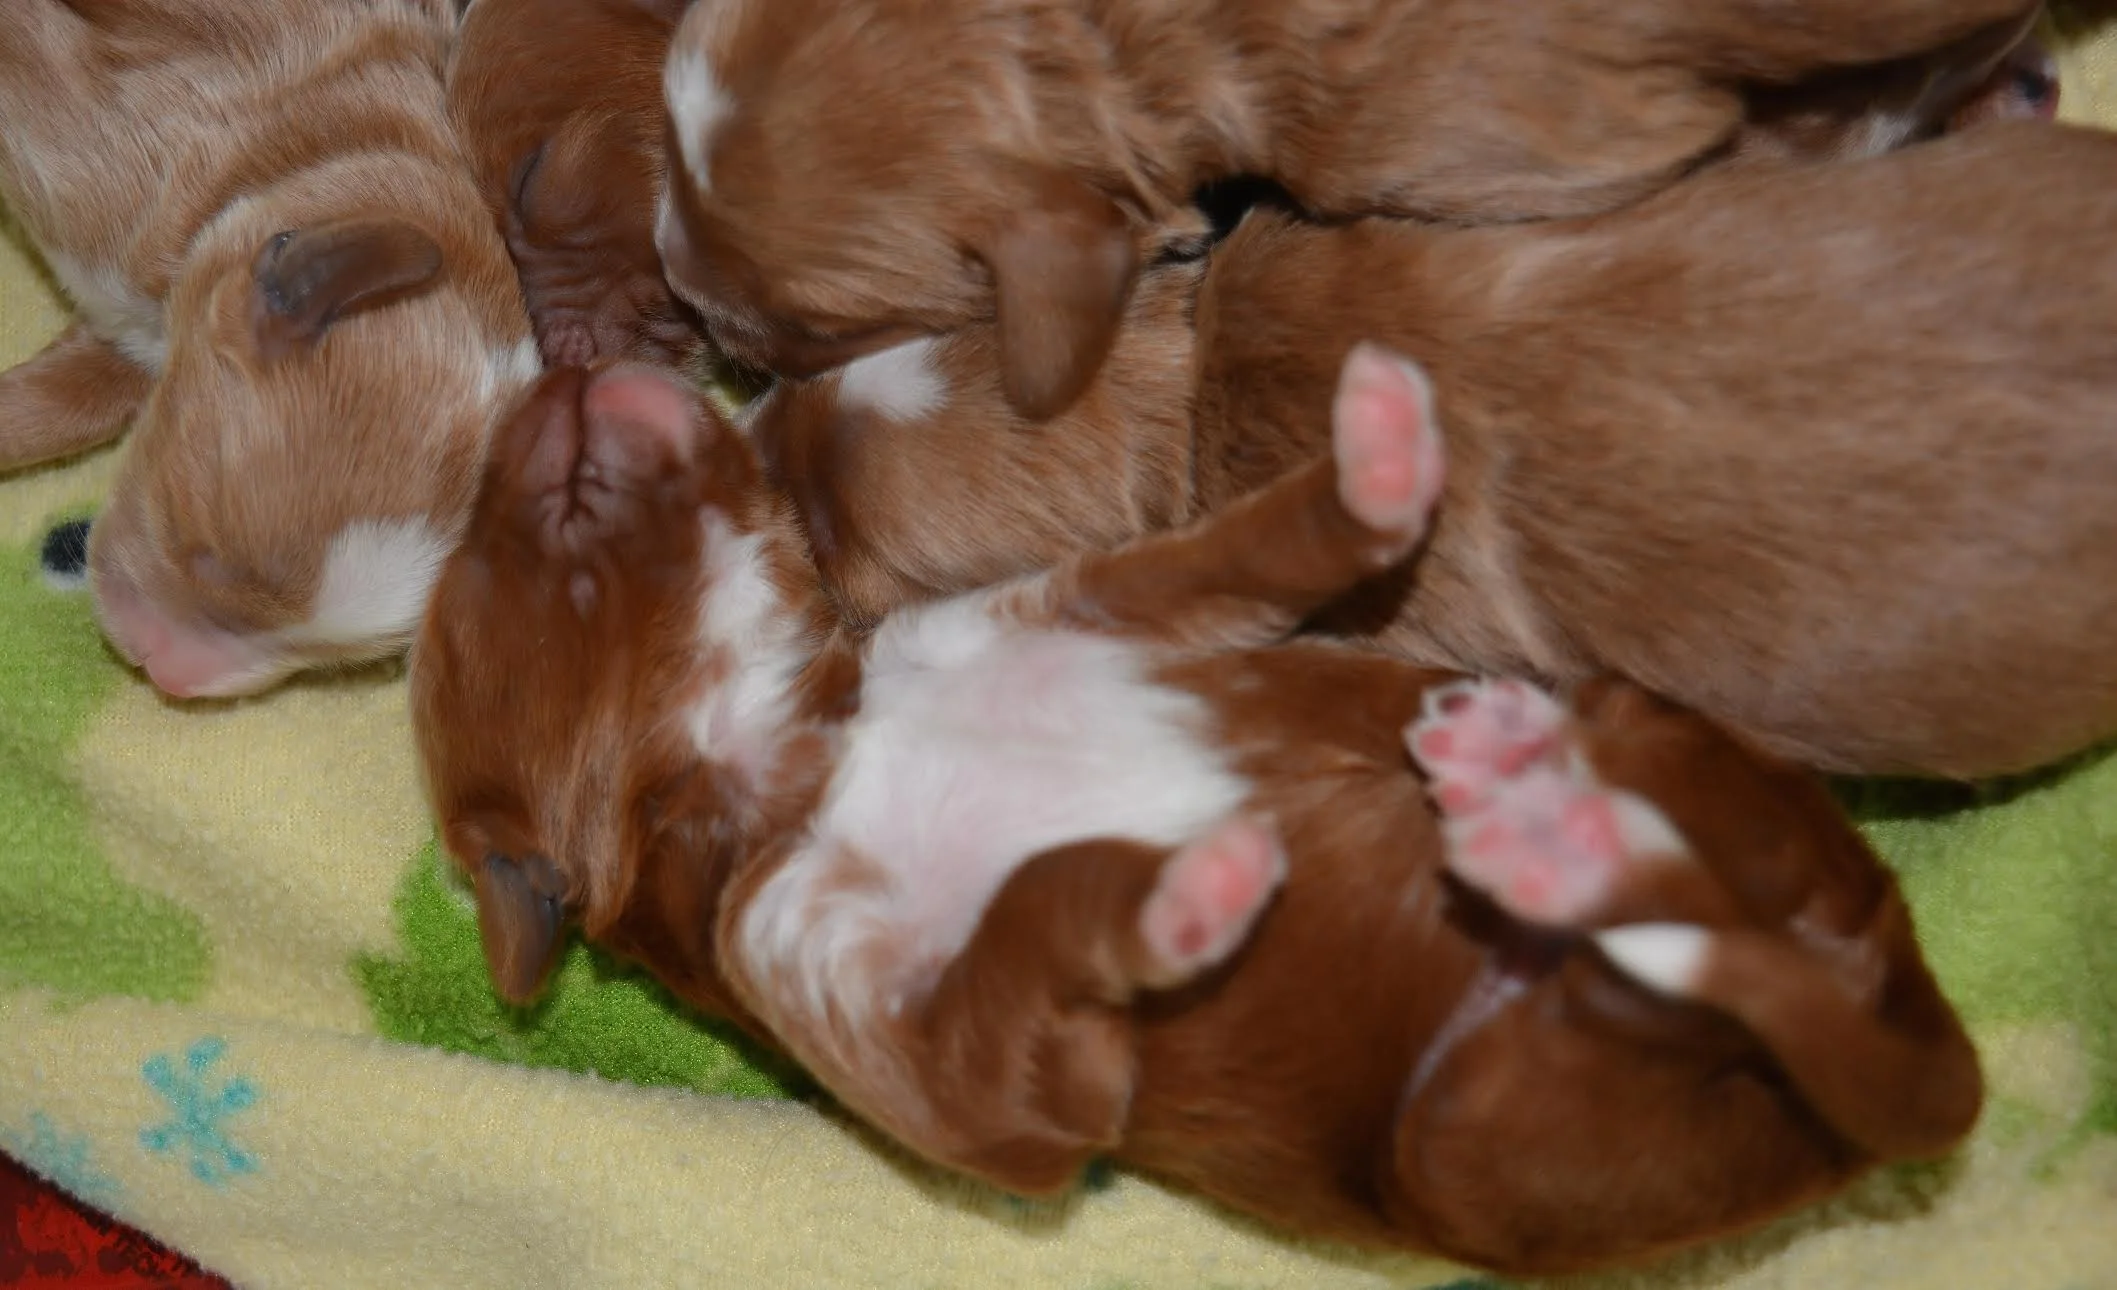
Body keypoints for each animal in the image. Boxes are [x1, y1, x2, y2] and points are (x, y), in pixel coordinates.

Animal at [409, 350, 1980, 1275]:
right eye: (476, 549)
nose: (565, 358)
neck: (810, 743)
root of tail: (1899, 986)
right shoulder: (960, 1079)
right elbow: (1038, 912)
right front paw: (1182, 892)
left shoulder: (1107, 603)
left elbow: (1252, 544)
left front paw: (1380, 457)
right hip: (1466, 1140)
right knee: (1659, 983)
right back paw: (1539, 827)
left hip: (1668, 765)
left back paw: (1522, 766)